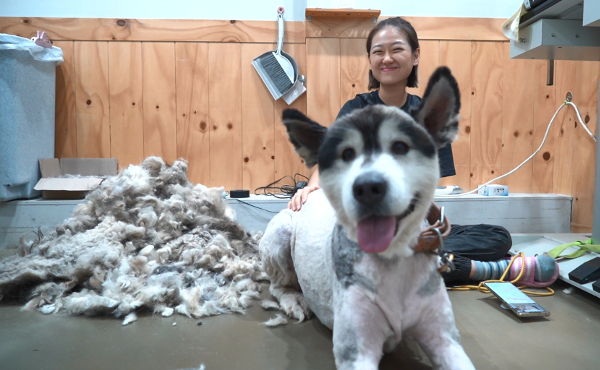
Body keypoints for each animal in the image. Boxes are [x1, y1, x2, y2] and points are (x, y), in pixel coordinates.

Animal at [260, 67, 476, 370]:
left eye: (400, 147)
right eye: (347, 154)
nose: (367, 187)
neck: (392, 258)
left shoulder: (445, 338)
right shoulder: (357, 347)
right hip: (279, 237)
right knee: (277, 285)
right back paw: (294, 299)